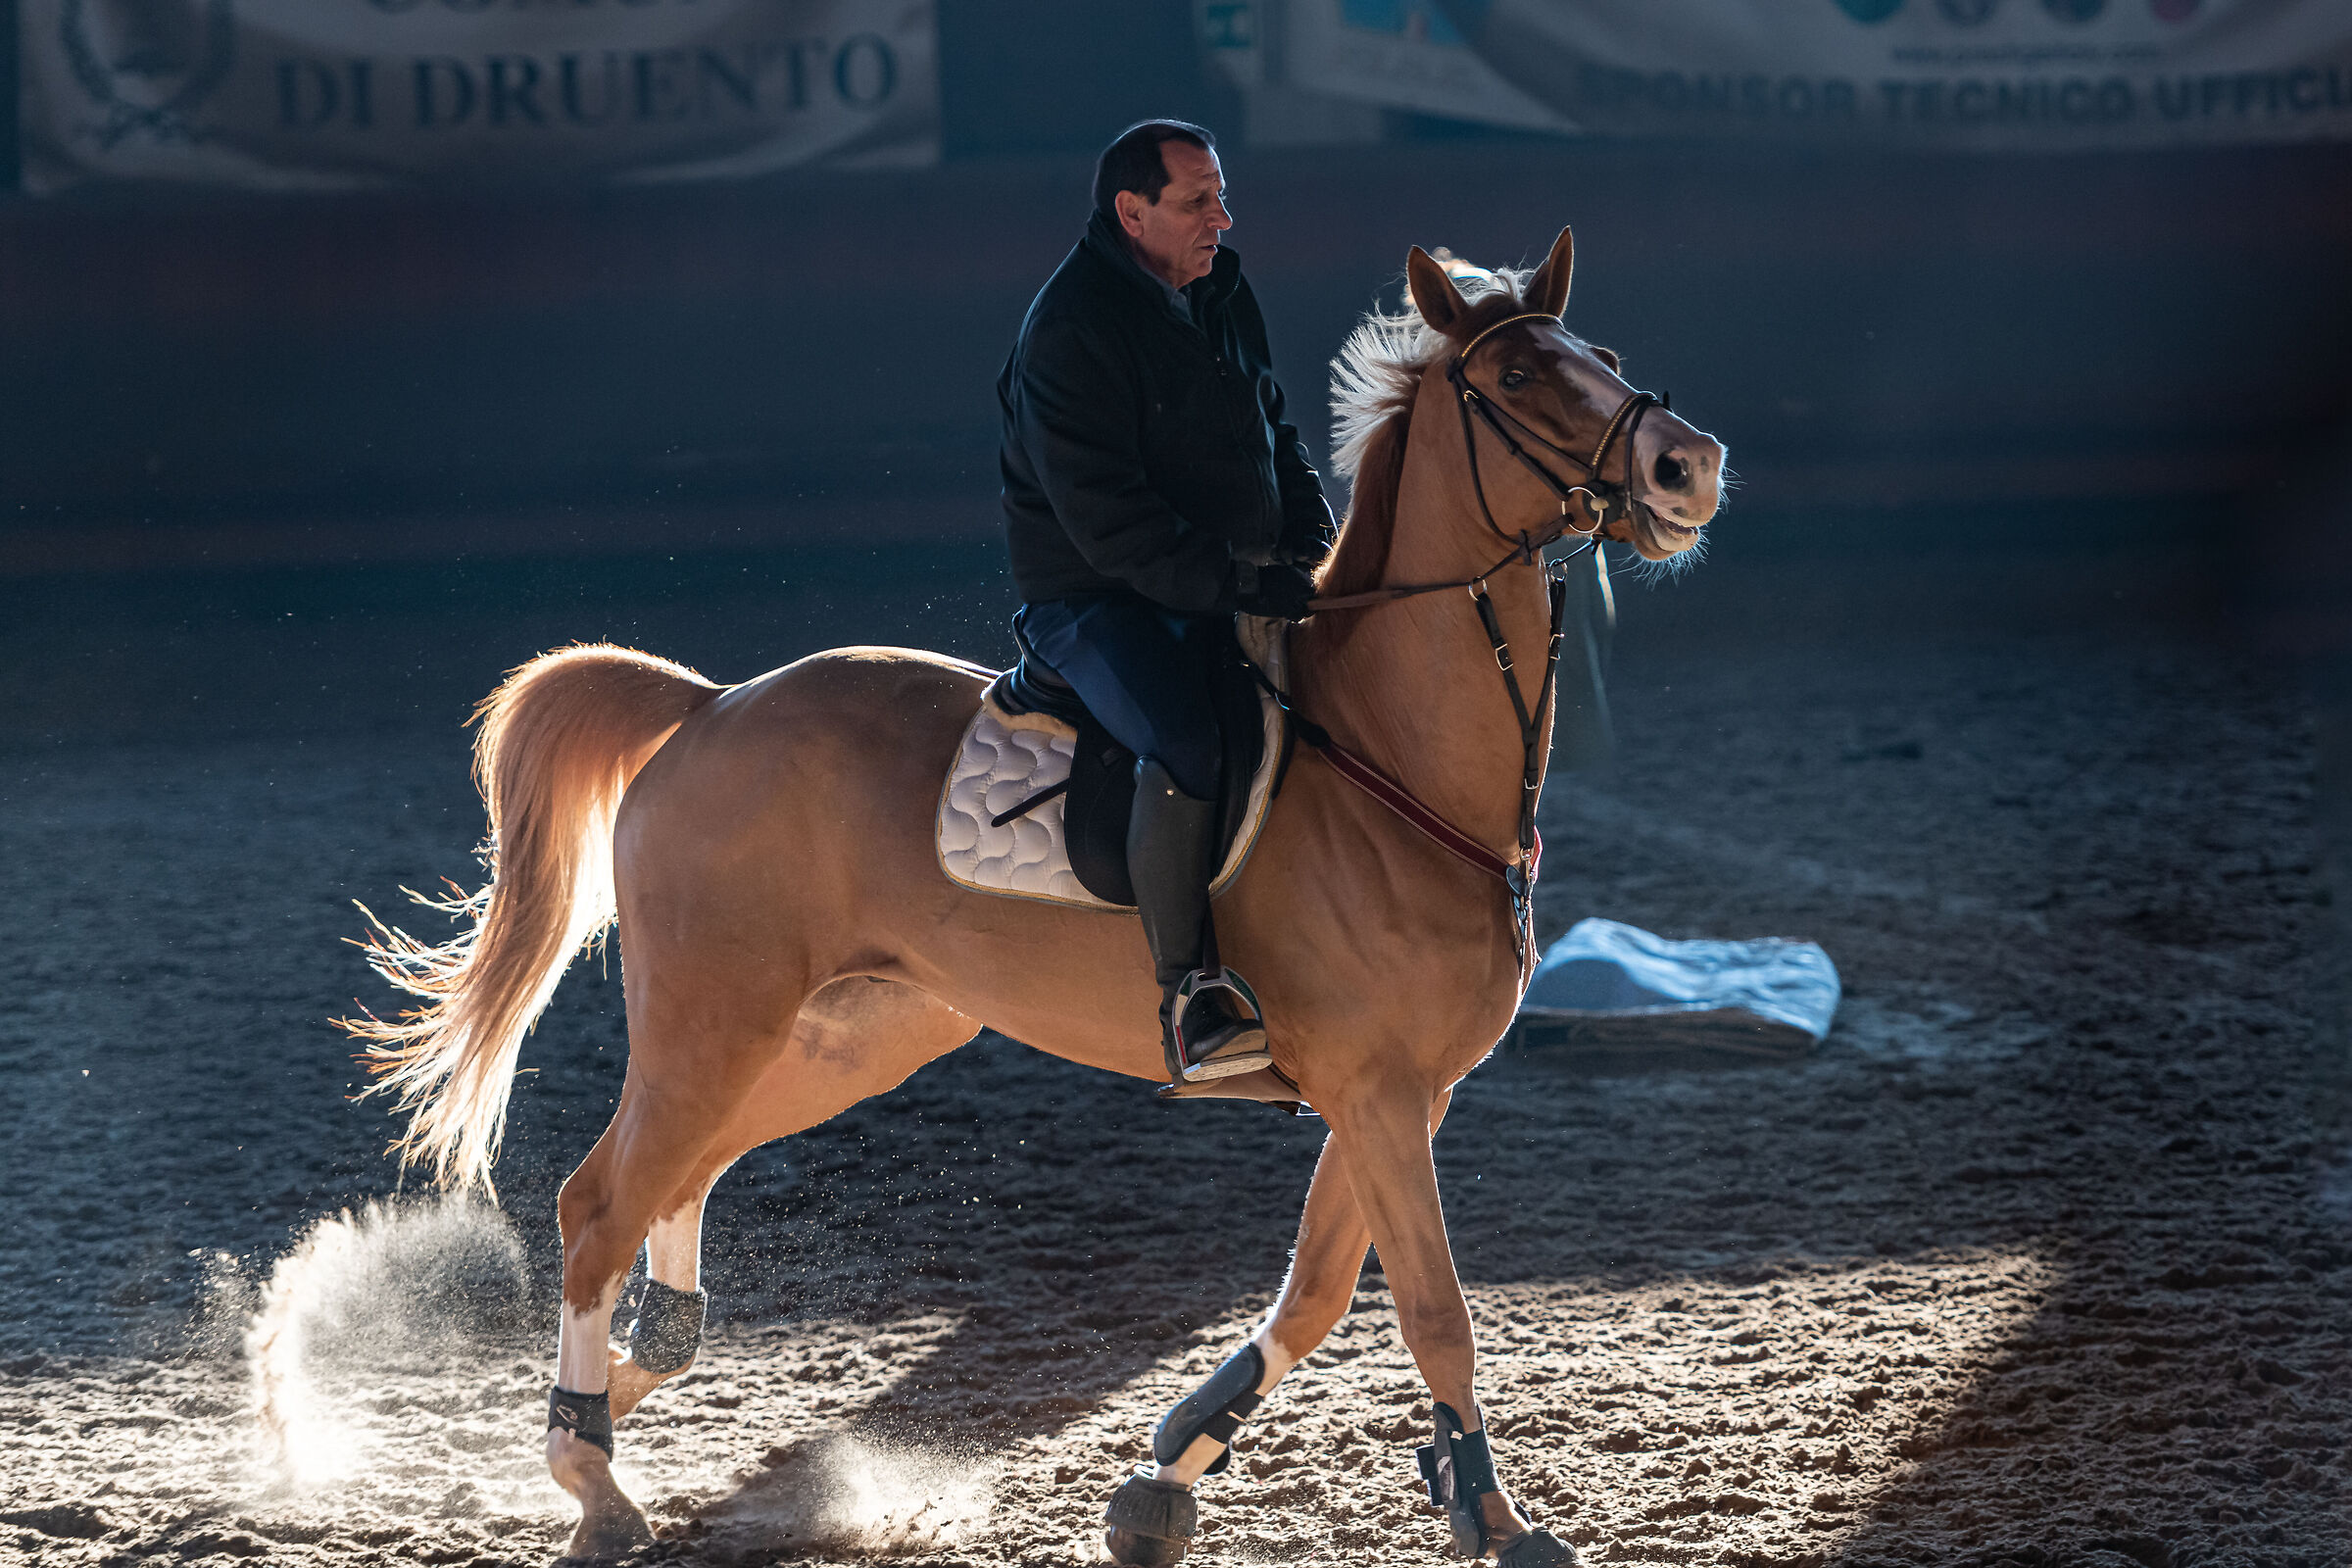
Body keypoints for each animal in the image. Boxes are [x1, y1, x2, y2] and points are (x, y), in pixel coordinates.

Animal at [345, 227, 1725, 1563]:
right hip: (715, 1019)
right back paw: (591, 1474)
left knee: (678, 1175)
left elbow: (1318, 1291)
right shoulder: (1378, 1091)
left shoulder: (1396, 1092)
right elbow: (1434, 1310)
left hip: (850, 1032)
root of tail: (709, 705)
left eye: (1600, 353)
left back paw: (631, 1377)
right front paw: (1495, 1518)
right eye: (1517, 377)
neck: (1390, 750)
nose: (1688, 467)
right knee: (601, 1200)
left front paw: (1164, 1476)